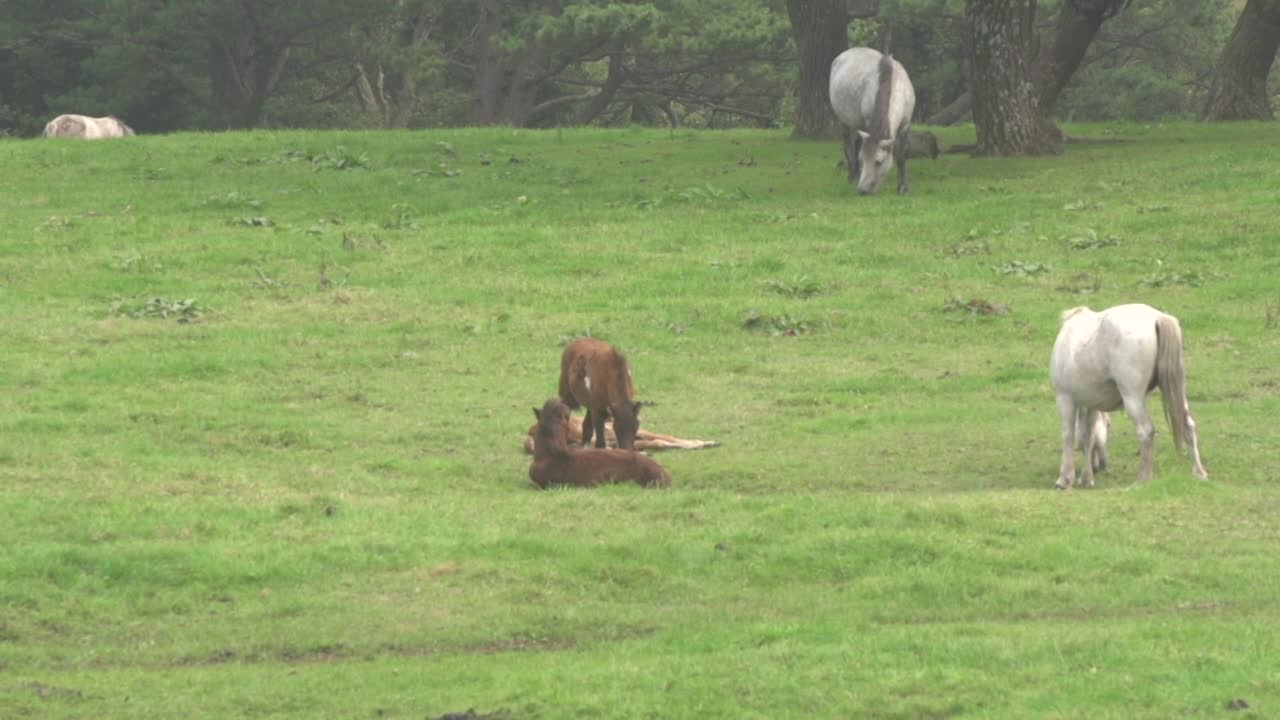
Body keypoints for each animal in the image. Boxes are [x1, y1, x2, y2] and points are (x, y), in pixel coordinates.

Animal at [824, 47, 916, 194]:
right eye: (863, 159)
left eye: (878, 162)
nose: (862, 190)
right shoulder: (868, 122)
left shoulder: (905, 125)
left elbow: (901, 156)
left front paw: (903, 187)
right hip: (845, 121)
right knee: (848, 145)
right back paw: (852, 176)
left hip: (858, 123)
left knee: (856, 143)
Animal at [1049, 299, 1208, 484]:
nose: (1101, 465)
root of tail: (1158, 318)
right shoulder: (1092, 405)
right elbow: (1087, 438)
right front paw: (1087, 478)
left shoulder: (1065, 399)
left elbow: (1069, 435)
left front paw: (1065, 479)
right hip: (1178, 391)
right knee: (1188, 425)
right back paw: (1199, 473)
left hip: (1132, 398)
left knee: (1146, 430)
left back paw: (1143, 480)